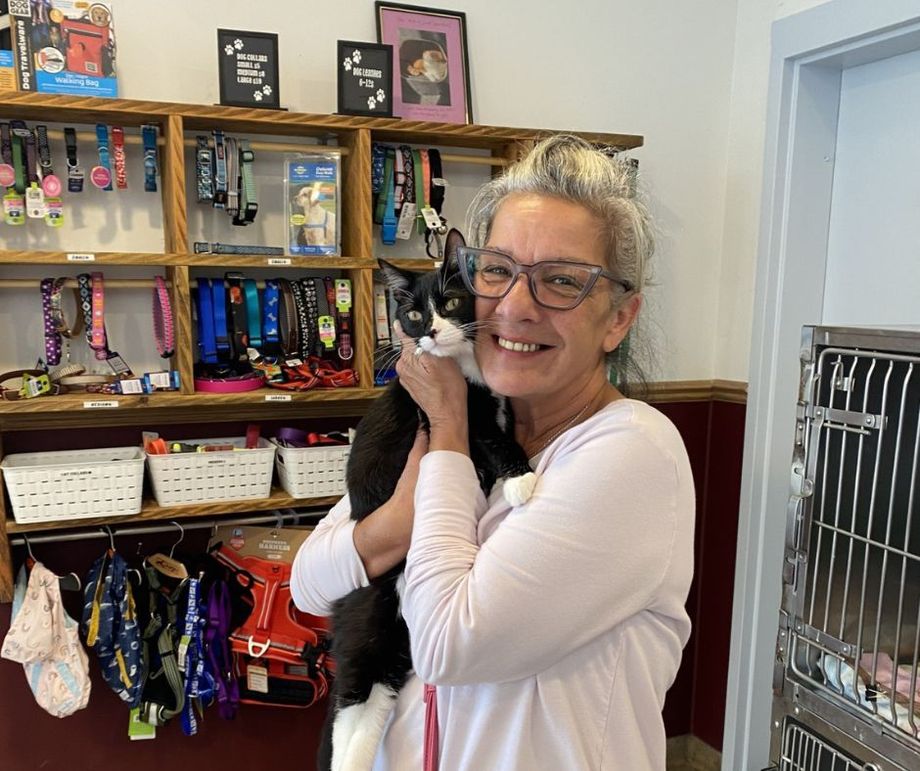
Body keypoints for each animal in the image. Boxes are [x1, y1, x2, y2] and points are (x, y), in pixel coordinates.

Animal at [322, 231, 540, 771]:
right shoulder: (463, 417)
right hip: (373, 611)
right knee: (351, 696)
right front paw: (521, 478)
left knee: (371, 698)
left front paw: (501, 480)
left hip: (394, 635)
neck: (465, 366)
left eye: (452, 301)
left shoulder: (494, 399)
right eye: (414, 314)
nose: (434, 332)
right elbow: (495, 438)